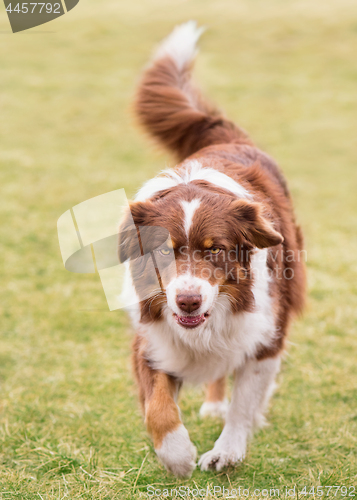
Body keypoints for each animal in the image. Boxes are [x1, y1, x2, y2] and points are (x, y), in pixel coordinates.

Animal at [118, 22, 304, 476]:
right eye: (163, 252)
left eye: (215, 249)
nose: (187, 302)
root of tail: (228, 136)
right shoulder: (152, 337)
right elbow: (157, 406)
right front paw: (177, 455)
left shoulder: (267, 333)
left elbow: (245, 400)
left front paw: (227, 450)